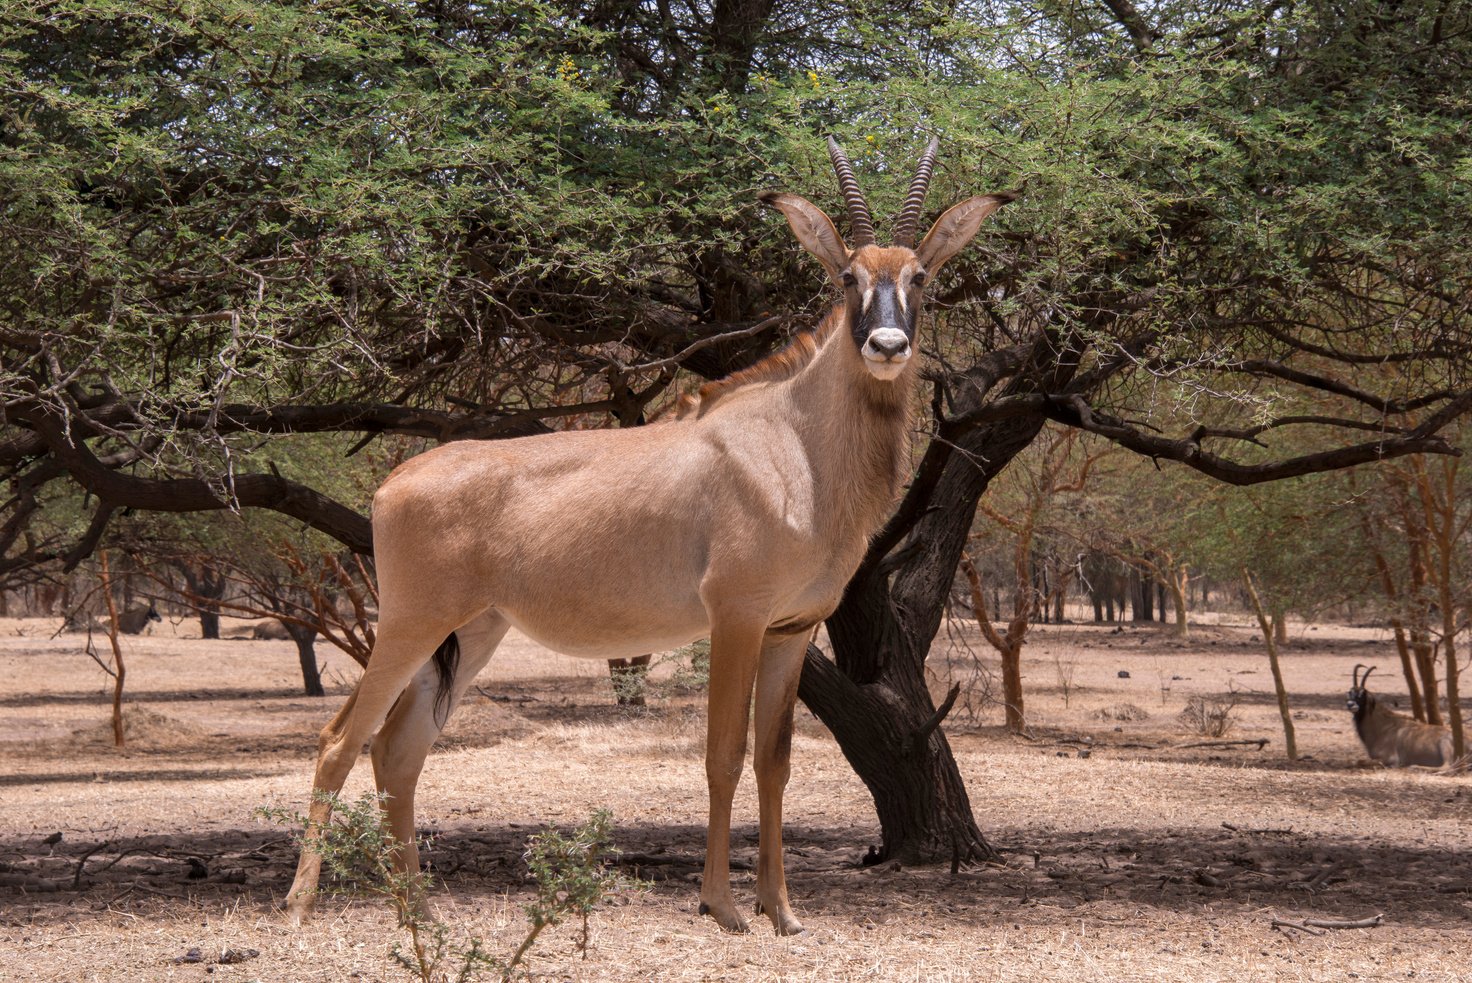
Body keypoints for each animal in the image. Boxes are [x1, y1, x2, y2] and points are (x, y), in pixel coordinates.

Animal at [285, 139, 1018, 935]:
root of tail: (393, 484)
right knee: (340, 740)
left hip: (470, 632)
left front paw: (782, 910)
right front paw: (722, 905)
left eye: (920, 276)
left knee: (398, 750)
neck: (796, 443)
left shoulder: (792, 629)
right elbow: (724, 754)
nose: (888, 344)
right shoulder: (736, 617)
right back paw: (301, 904)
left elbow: (776, 760)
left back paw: (416, 913)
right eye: (848, 275)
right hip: (410, 625)